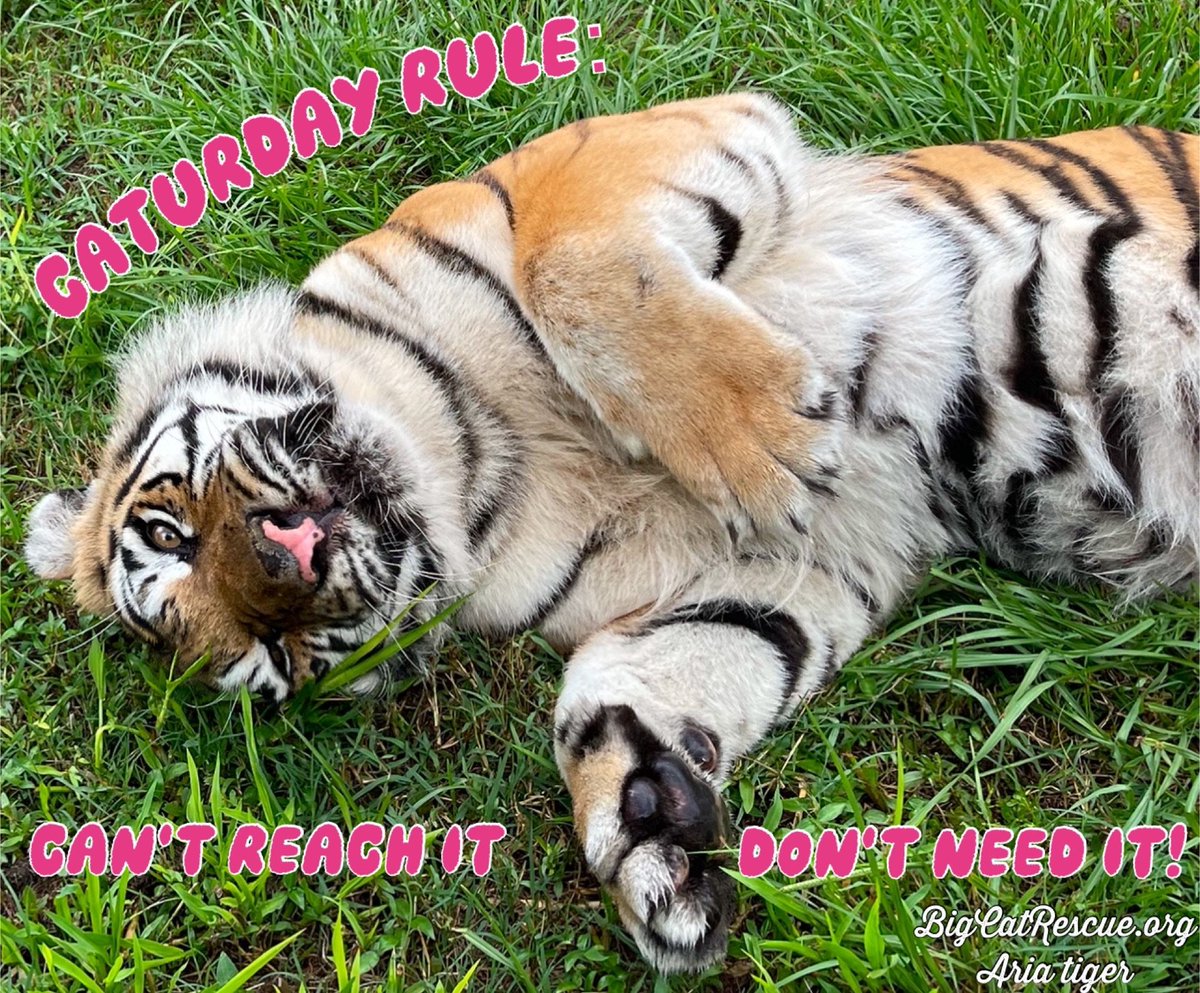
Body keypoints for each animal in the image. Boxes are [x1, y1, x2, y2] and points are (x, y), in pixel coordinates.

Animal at [25, 93, 1199, 973]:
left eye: (171, 531)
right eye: (272, 654)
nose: (288, 572)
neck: (489, 466)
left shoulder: (623, 152)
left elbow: (575, 267)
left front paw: (770, 437)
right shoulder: (811, 559)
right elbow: (629, 674)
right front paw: (645, 831)